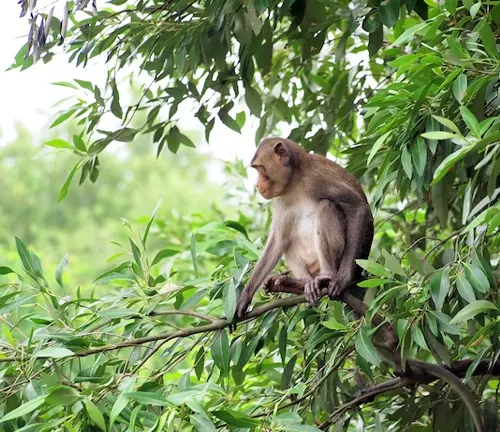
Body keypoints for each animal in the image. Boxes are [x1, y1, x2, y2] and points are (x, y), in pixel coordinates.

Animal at [236, 138, 374, 318]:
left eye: (260, 169)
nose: (258, 185)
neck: (294, 182)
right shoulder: (281, 199)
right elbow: (277, 242)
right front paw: (245, 295)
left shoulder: (317, 178)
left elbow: (359, 209)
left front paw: (343, 279)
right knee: (286, 238)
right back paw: (296, 284)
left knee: (326, 206)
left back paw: (327, 276)